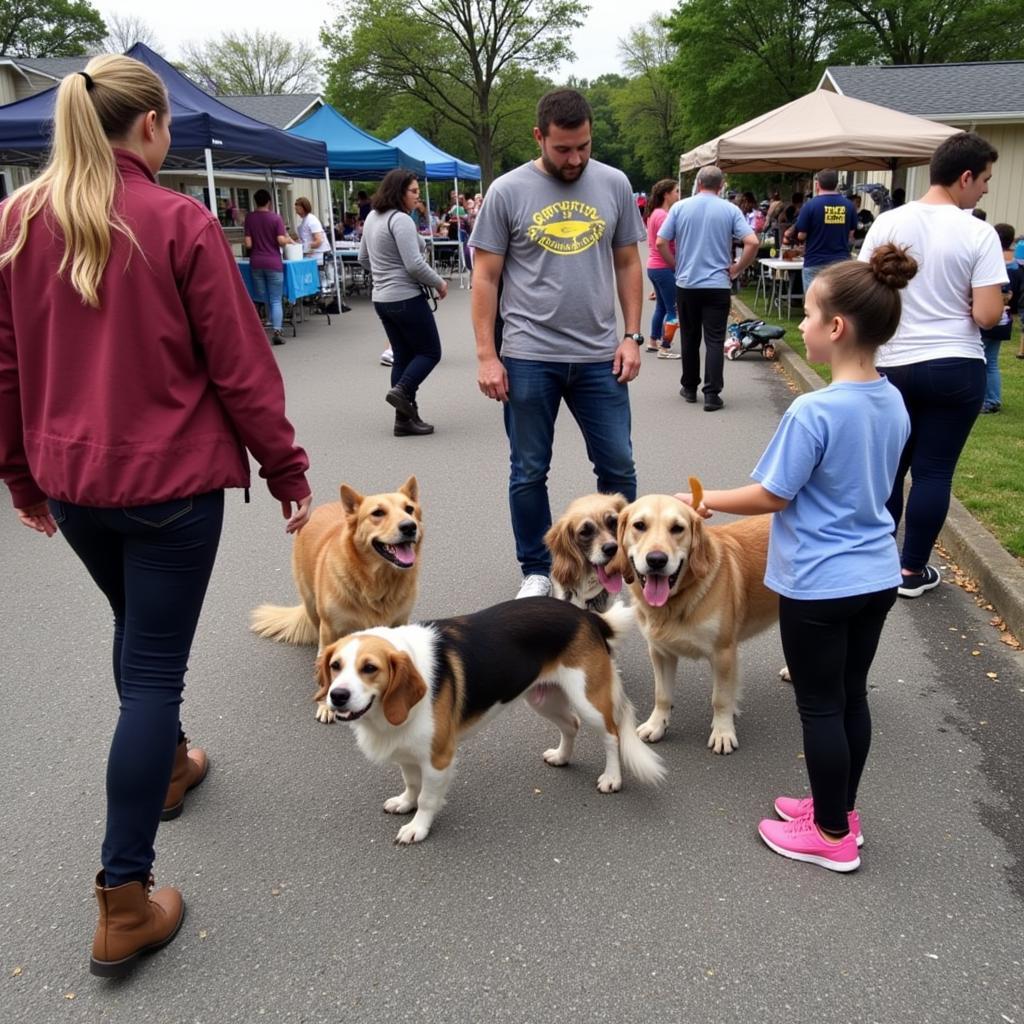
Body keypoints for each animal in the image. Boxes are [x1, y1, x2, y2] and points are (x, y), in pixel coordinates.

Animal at [249, 477, 421, 724]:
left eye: (409, 509)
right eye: (378, 513)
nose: (409, 526)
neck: (375, 583)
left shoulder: (398, 623)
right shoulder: (330, 629)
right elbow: (329, 669)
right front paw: (326, 705)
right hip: (312, 606)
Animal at [317, 598, 663, 843]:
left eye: (370, 668)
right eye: (335, 666)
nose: (337, 696)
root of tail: (588, 616)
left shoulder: (438, 757)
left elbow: (427, 797)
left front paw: (418, 827)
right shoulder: (408, 749)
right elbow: (412, 784)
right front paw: (405, 802)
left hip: (587, 698)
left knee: (611, 735)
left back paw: (612, 778)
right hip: (544, 698)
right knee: (570, 725)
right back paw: (562, 757)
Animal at [606, 483, 774, 757]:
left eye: (677, 528)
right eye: (639, 525)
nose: (656, 560)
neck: (675, 604)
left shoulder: (723, 653)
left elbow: (721, 699)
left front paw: (723, 732)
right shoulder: (660, 652)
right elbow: (662, 695)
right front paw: (657, 725)